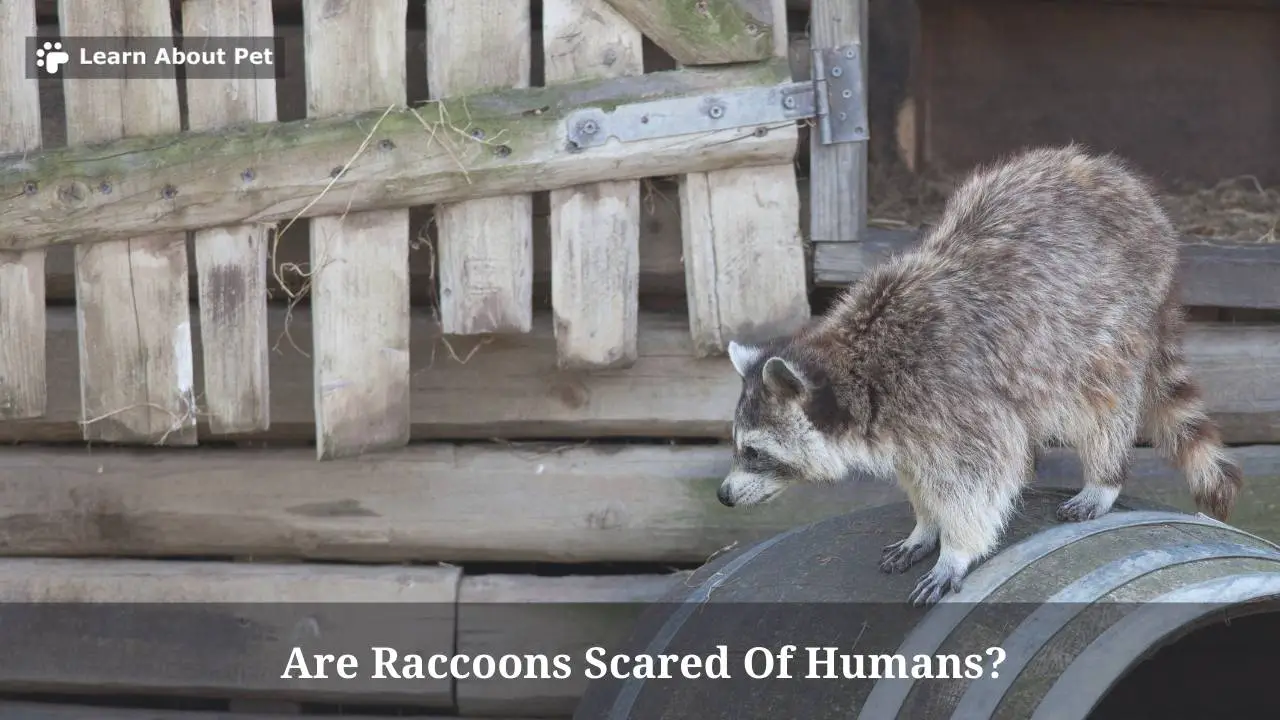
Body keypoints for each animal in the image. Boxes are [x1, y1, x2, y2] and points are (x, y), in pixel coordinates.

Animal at [718, 144, 1243, 606]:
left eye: (755, 452)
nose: (723, 495)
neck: (860, 368)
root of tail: (1131, 189)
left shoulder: (953, 395)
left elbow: (980, 478)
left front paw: (956, 549)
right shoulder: (908, 425)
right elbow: (922, 475)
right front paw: (925, 524)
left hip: (1108, 321)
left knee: (1101, 404)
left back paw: (1105, 475)